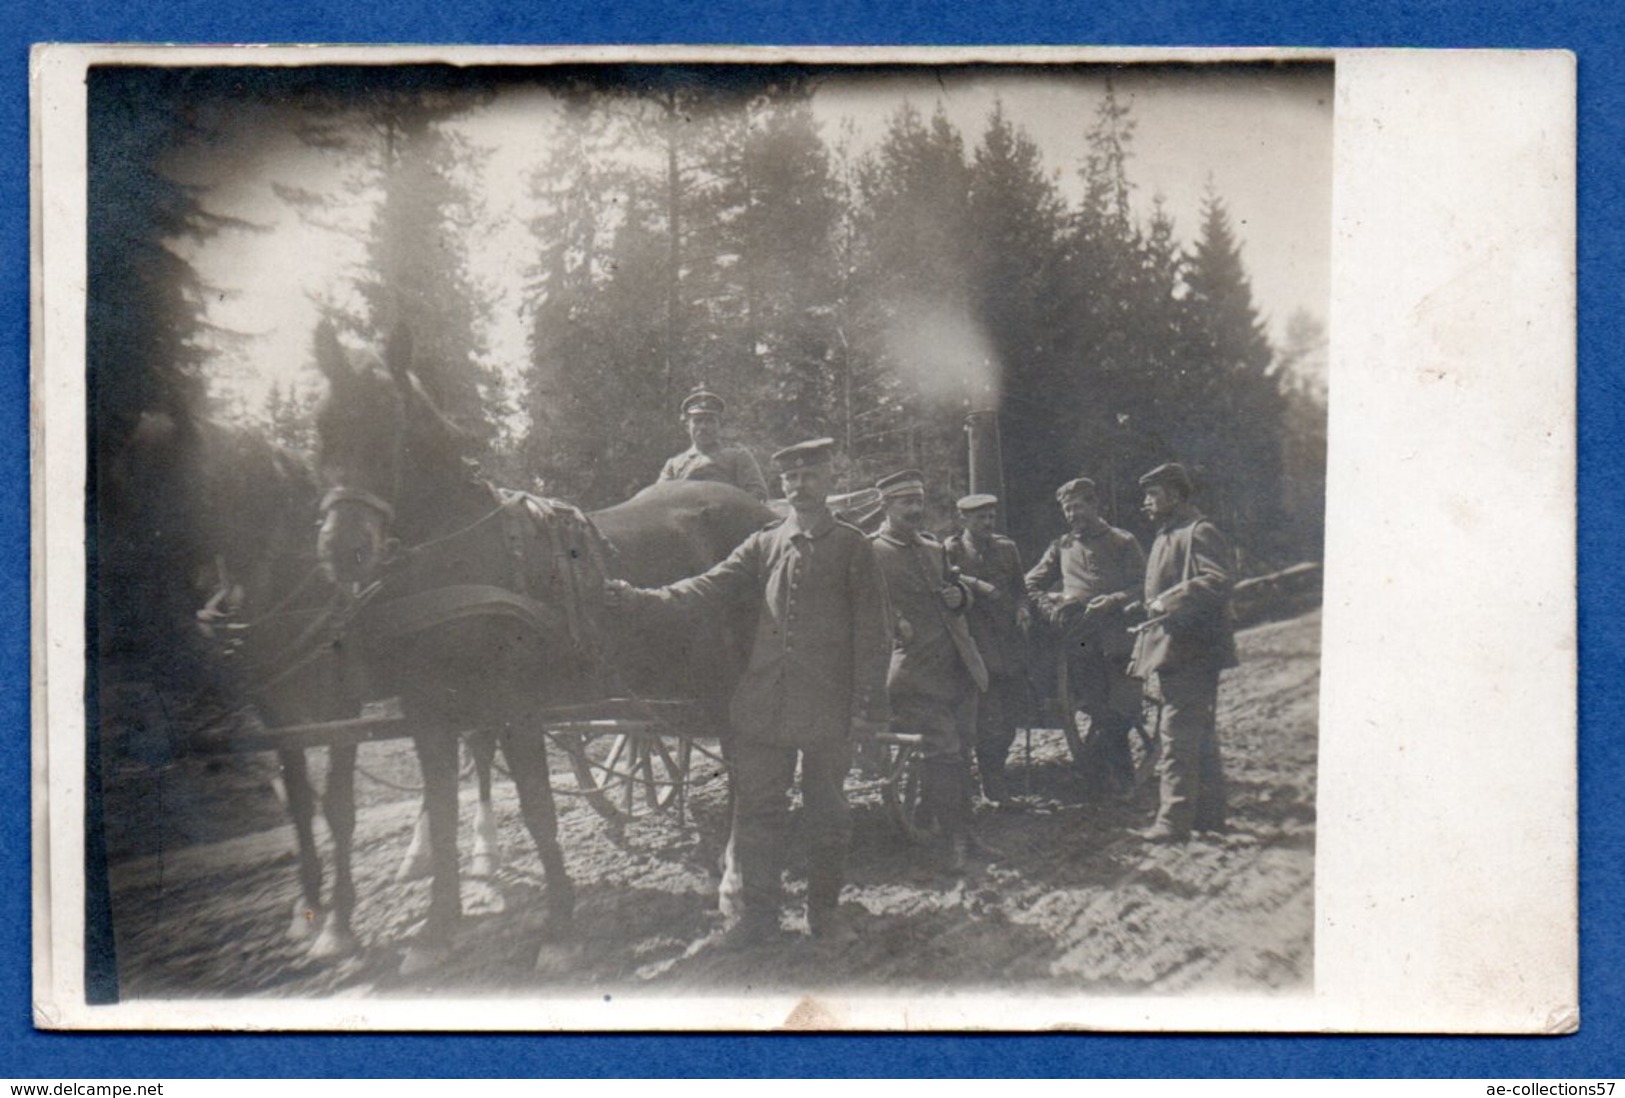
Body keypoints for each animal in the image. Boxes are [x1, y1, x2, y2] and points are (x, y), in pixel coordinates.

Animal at [313, 319, 776, 968]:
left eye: (394, 423)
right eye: (322, 427)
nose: (344, 549)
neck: (459, 558)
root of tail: (763, 510)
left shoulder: (515, 707)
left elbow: (537, 808)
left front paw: (558, 927)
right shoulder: (428, 712)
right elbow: (445, 809)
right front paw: (435, 929)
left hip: (734, 671)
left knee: (743, 754)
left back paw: (737, 872)